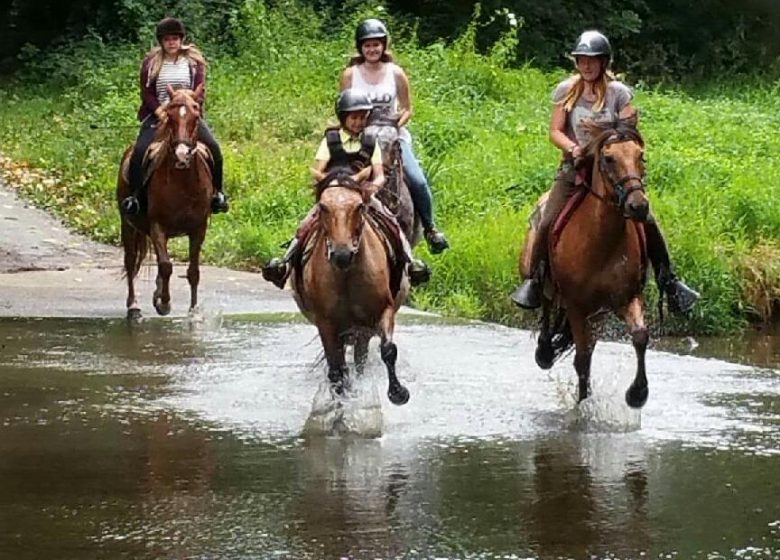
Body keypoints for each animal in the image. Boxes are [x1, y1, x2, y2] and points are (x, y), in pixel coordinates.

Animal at [116, 83, 213, 320]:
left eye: (196, 116)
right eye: (170, 116)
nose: (181, 155)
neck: (183, 184)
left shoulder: (198, 228)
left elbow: (193, 271)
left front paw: (193, 310)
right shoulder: (157, 226)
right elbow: (166, 266)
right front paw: (165, 303)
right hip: (128, 224)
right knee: (131, 262)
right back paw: (134, 307)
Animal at [290, 172, 412, 406]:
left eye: (359, 206)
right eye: (323, 206)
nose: (342, 254)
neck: (346, 276)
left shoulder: (382, 312)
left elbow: (388, 350)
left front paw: (398, 392)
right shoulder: (326, 324)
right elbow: (336, 371)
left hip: (361, 333)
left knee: (359, 363)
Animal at [520, 117, 656, 406]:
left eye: (640, 155)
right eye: (609, 158)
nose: (638, 206)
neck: (601, 245)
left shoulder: (626, 298)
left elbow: (640, 337)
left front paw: (637, 393)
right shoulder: (576, 305)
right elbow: (582, 361)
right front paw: (583, 406)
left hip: (599, 314)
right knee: (546, 304)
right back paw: (544, 352)